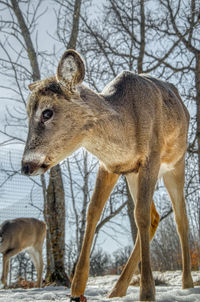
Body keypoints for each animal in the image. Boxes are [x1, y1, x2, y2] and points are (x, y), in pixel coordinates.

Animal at [20, 48, 194, 300]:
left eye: (47, 112)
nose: (26, 165)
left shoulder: (151, 157)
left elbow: (140, 215)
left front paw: (147, 292)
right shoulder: (110, 165)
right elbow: (93, 212)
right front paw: (76, 289)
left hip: (176, 163)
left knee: (180, 219)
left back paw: (187, 284)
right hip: (132, 175)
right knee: (154, 217)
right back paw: (116, 290)